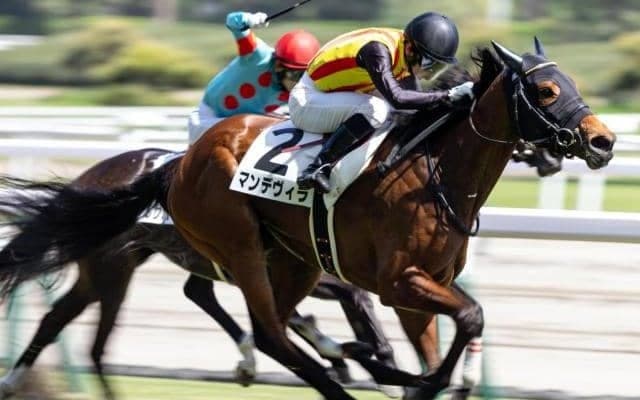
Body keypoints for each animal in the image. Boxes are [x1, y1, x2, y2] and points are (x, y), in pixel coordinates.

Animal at [0, 40, 615, 399]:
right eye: (546, 89)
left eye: (573, 84)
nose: (603, 142)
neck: (437, 173)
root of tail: (176, 166)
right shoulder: (398, 282)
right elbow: (470, 316)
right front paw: (419, 380)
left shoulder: (418, 292)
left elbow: (451, 328)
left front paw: (414, 376)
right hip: (231, 248)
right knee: (267, 331)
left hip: (285, 262)